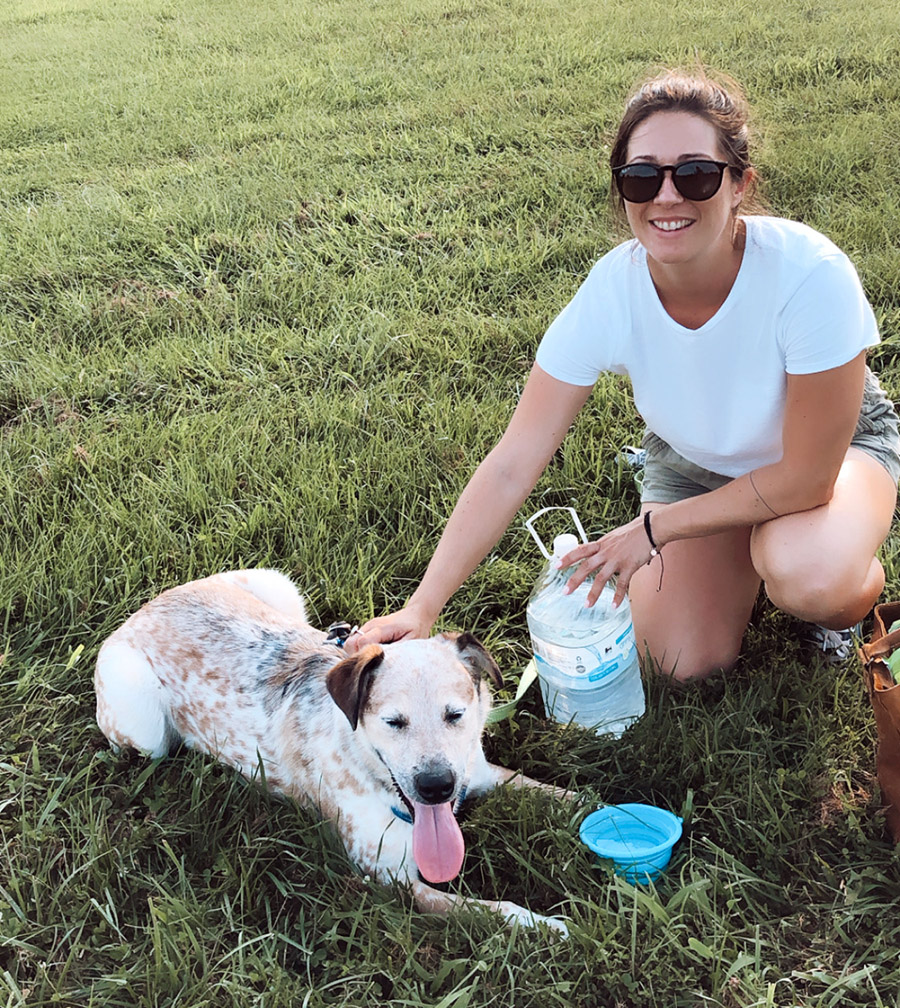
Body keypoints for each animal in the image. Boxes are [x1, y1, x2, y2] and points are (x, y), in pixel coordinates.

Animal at [93, 572, 568, 931]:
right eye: (393, 722)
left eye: (456, 714)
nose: (436, 787)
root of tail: (145, 609)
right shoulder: (393, 879)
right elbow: (491, 912)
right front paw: (549, 928)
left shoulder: (482, 774)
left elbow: (564, 797)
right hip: (144, 730)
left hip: (278, 586)